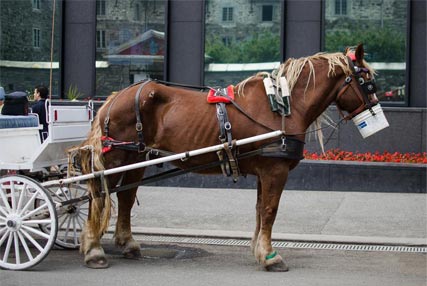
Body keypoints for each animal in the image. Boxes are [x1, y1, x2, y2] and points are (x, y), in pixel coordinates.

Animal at [77, 43, 378, 272]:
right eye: (367, 81)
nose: (375, 108)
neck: (284, 106)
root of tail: (114, 98)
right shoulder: (275, 171)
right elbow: (270, 211)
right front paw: (270, 256)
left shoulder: (264, 172)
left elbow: (259, 210)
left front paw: (259, 249)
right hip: (116, 158)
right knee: (98, 196)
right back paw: (94, 250)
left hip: (136, 158)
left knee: (126, 197)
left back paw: (127, 243)